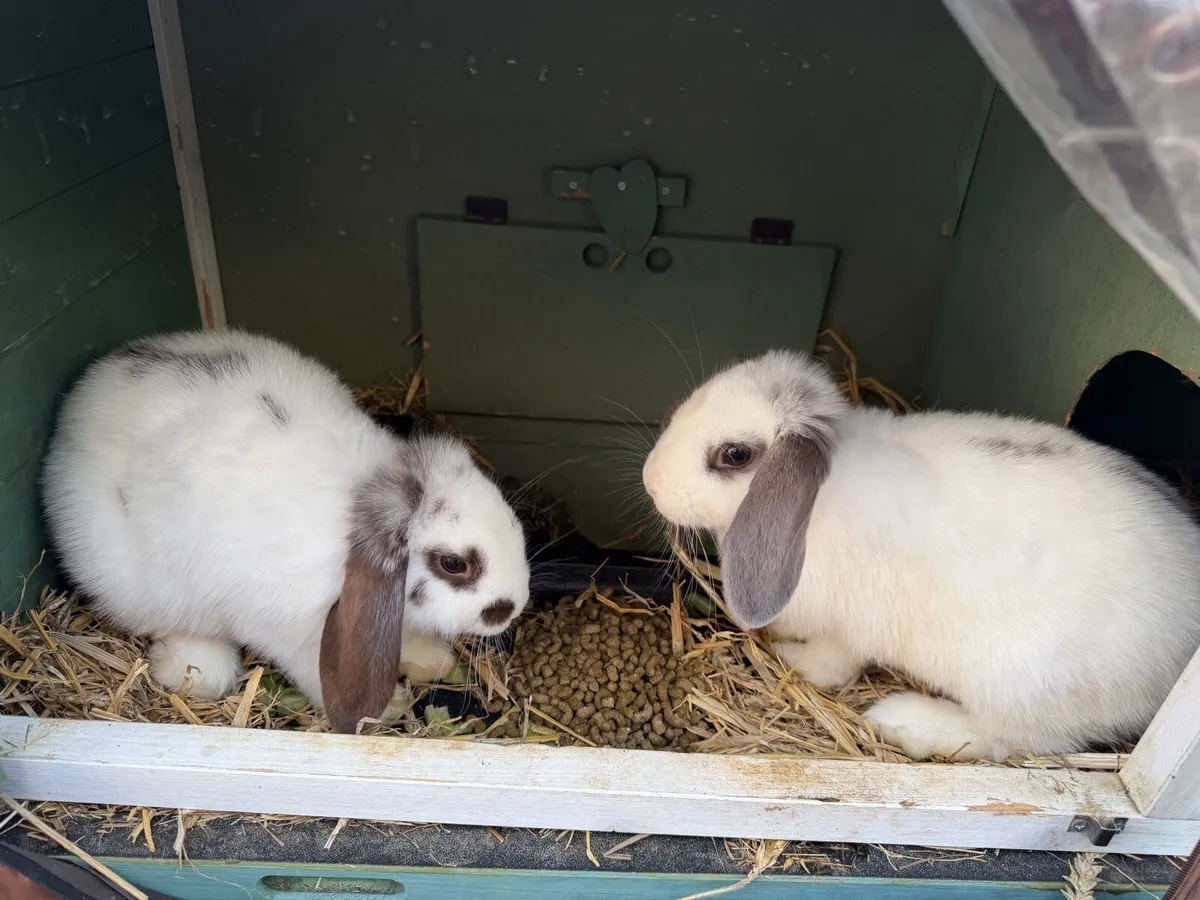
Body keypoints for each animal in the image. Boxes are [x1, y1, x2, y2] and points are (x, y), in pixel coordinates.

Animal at [42, 328, 530, 733]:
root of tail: (79, 402)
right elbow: (313, 667)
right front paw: (385, 708)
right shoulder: (292, 629)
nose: (513, 607)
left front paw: (429, 659)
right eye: (453, 564)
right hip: (138, 585)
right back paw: (193, 668)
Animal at [642, 349, 1200, 761]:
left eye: (734, 455)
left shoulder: (852, 628)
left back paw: (905, 721)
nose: (652, 480)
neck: (819, 500)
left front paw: (789, 656)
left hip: (1022, 683)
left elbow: (832, 665)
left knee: (1017, 737)